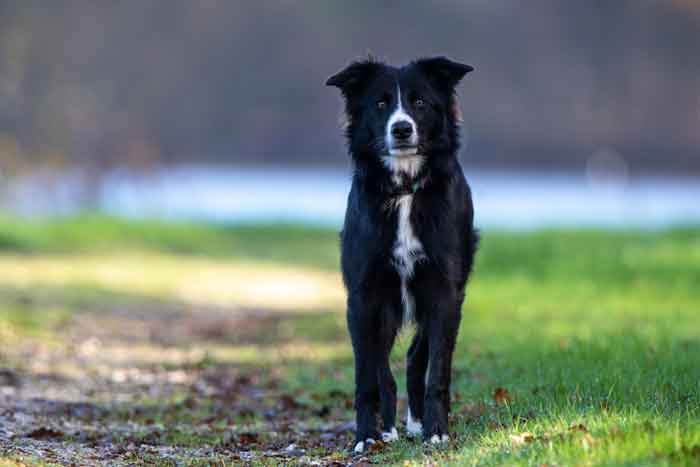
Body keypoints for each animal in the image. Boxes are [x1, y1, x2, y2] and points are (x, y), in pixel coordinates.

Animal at [326, 55, 478, 454]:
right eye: (380, 104)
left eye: (420, 102)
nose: (401, 129)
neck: (405, 189)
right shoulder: (363, 296)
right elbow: (367, 376)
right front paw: (366, 436)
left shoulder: (444, 292)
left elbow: (437, 370)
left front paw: (436, 431)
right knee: (381, 363)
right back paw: (390, 427)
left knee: (414, 356)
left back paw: (415, 422)